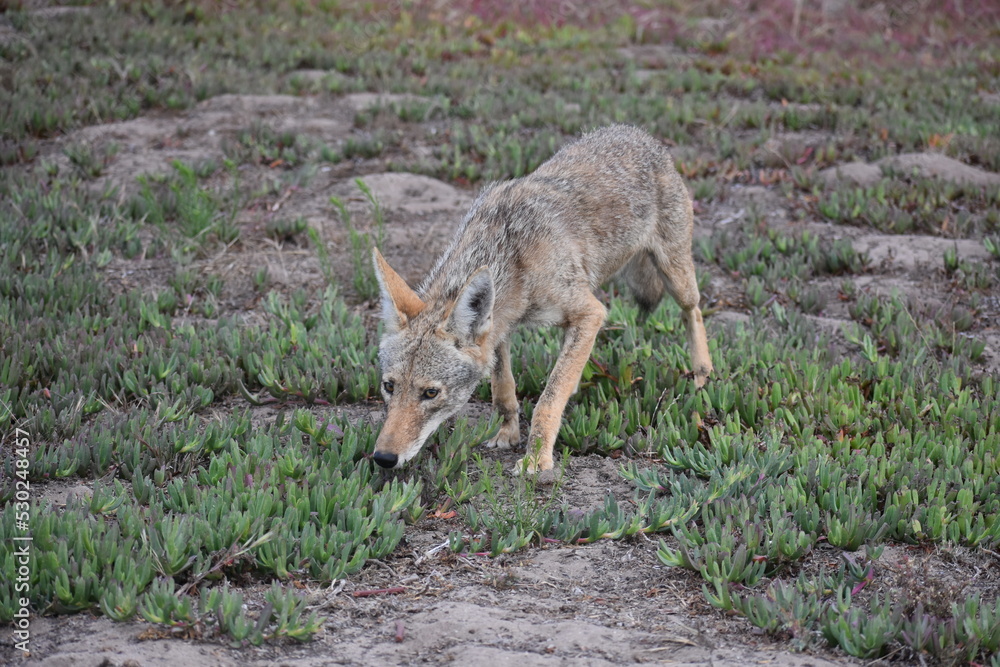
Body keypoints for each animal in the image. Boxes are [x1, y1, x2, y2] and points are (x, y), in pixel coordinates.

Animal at [371, 124, 712, 473]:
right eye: (389, 386)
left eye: (430, 393)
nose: (383, 458)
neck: (510, 257)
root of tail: (637, 133)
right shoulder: (499, 326)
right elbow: (503, 390)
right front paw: (507, 434)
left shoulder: (590, 311)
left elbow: (547, 400)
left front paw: (536, 458)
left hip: (676, 279)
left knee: (694, 312)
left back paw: (702, 375)